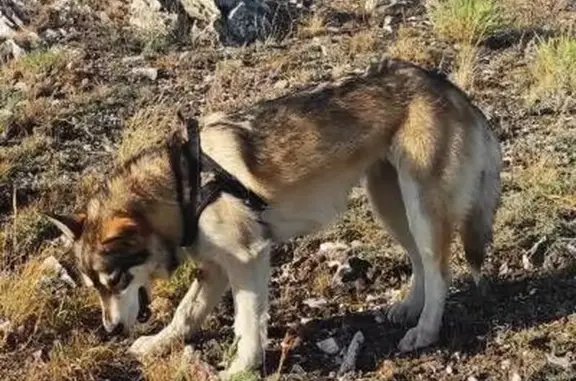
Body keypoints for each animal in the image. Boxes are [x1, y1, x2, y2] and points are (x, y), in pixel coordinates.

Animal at [47, 58, 502, 378]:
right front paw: (158, 343)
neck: (182, 183)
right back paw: (408, 308)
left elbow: (248, 325)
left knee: (439, 270)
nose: (109, 331)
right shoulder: (214, 268)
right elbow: (185, 314)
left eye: (116, 281)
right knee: (420, 265)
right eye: (95, 287)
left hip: (420, 210)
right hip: (390, 205)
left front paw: (240, 368)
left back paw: (425, 330)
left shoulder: (247, 259)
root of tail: (450, 88)